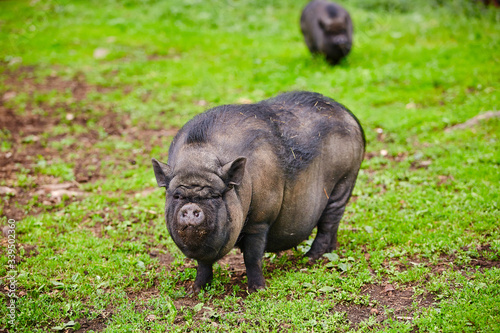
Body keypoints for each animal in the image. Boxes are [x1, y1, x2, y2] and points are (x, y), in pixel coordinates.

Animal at [150, 90, 366, 290]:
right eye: (177, 195)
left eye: (216, 195)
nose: (190, 207)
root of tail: (349, 114)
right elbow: (203, 264)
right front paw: (196, 290)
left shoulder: (260, 220)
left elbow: (252, 257)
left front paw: (257, 290)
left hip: (343, 181)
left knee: (328, 223)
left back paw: (310, 258)